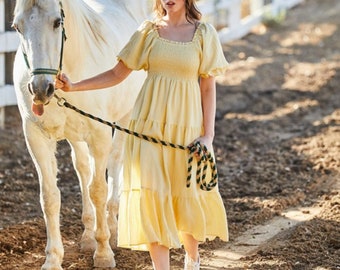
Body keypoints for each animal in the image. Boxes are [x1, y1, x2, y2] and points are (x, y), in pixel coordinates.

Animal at [11, 0, 147, 268]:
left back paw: (113, 228)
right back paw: (87, 236)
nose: (40, 89)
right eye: (17, 27)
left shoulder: (100, 134)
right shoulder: (36, 137)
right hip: (76, 136)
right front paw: (53, 258)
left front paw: (104, 252)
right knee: (83, 168)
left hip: (124, 118)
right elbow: (50, 197)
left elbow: (99, 190)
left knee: (115, 163)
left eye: (57, 22)